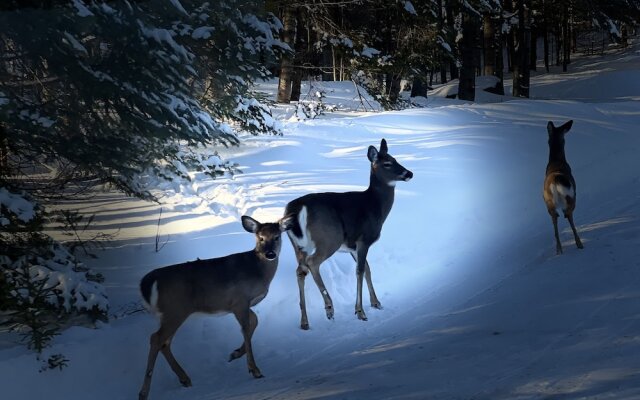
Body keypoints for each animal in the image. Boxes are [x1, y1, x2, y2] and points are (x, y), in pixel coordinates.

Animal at [139, 216, 294, 400]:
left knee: (164, 342)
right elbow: (246, 328)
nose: (269, 254)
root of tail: (148, 281)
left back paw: (185, 379)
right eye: (260, 238)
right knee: (156, 338)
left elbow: (255, 321)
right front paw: (254, 369)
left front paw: (235, 353)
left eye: (277, 237)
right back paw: (144, 392)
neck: (258, 272)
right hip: (175, 309)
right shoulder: (239, 300)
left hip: (170, 313)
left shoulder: (239, 304)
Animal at [282, 139, 412, 330]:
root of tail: (297, 208)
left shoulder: (352, 246)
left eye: (395, 159)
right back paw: (329, 307)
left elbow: (367, 269)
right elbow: (359, 271)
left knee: (300, 270)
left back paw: (305, 322)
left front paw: (376, 303)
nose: (409, 173)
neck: (376, 206)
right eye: (387, 163)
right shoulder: (364, 239)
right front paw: (360, 311)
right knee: (312, 263)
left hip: (298, 245)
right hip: (329, 238)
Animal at [544, 120, 584, 255]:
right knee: (569, 215)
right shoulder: (575, 192)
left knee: (555, 220)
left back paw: (559, 250)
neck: (557, 161)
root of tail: (555, 182)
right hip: (570, 196)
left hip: (548, 202)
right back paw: (579, 244)